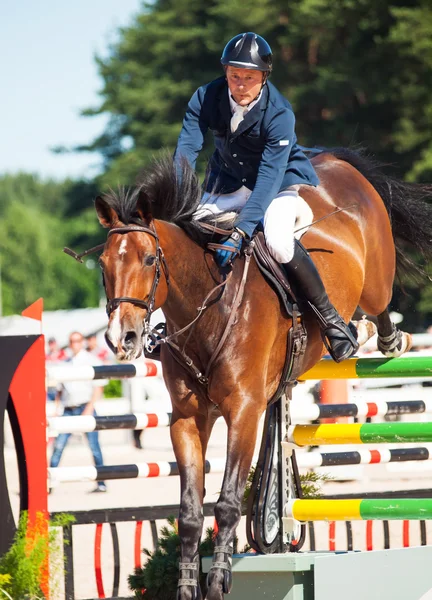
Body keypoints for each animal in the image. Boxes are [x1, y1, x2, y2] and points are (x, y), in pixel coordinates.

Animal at [90, 146, 428, 600]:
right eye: (104, 264)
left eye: (148, 259)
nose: (120, 337)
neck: (208, 308)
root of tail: (332, 160)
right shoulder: (187, 419)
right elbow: (190, 511)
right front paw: (187, 587)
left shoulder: (245, 411)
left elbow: (228, 501)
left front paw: (218, 582)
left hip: (375, 277)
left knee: (381, 303)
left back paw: (369, 336)